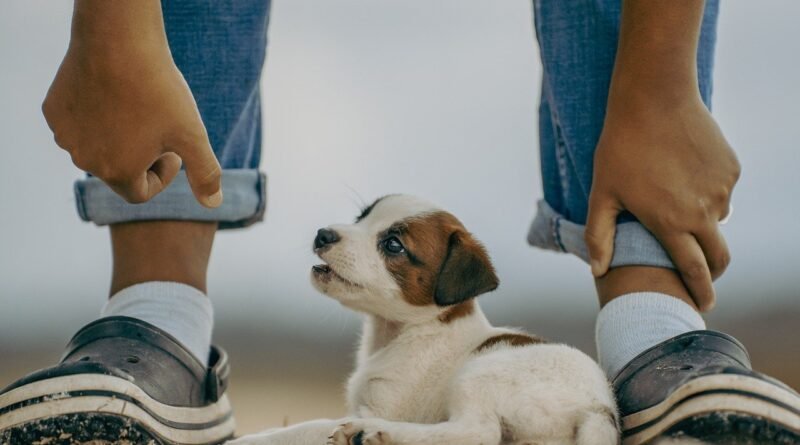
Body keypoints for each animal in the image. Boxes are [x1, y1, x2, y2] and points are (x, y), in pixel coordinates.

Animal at [231, 194, 620, 444]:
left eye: (393, 245)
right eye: (362, 218)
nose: (323, 234)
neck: (403, 333)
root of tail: (600, 408)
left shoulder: (382, 406)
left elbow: (302, 429)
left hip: (480, 374)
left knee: (477, 433)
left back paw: (376, 435)